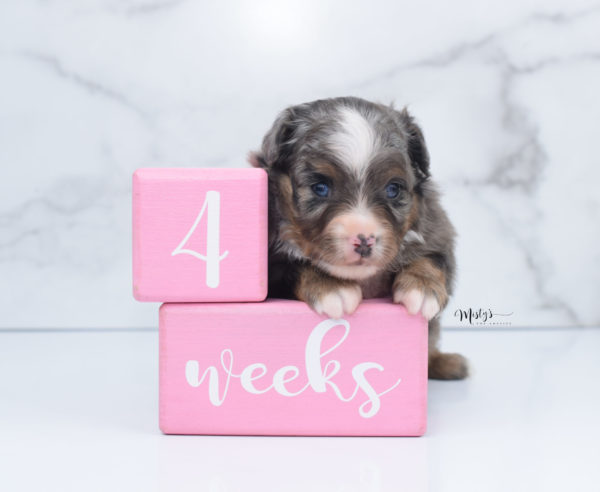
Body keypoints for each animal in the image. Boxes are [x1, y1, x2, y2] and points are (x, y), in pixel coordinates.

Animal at [248, 97, 468, 380]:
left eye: (393, 189)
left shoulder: (438, 230)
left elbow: (432, 257)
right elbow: (295, 265)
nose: (363, 240)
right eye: (321, 188)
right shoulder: (272, 264)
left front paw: (421, 287)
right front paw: (332, 287)